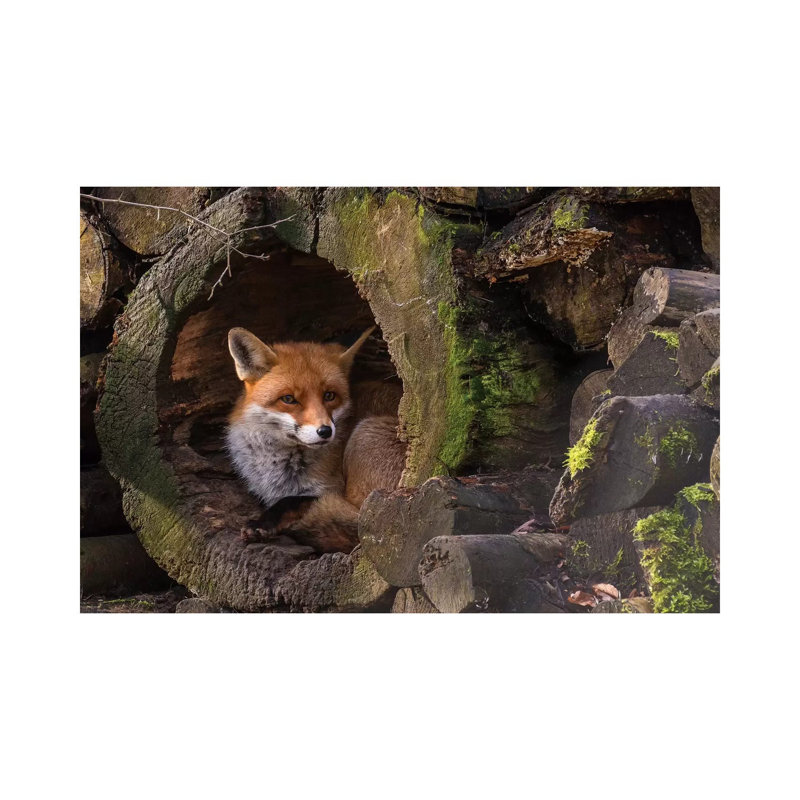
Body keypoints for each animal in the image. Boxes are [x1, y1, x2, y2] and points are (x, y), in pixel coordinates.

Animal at [225, 325, 406, 552]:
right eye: (288, 399)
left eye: (329, 395)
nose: (325, 431)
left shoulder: (329, 490)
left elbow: (290, 501)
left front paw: (262, 523)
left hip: (365, 442)